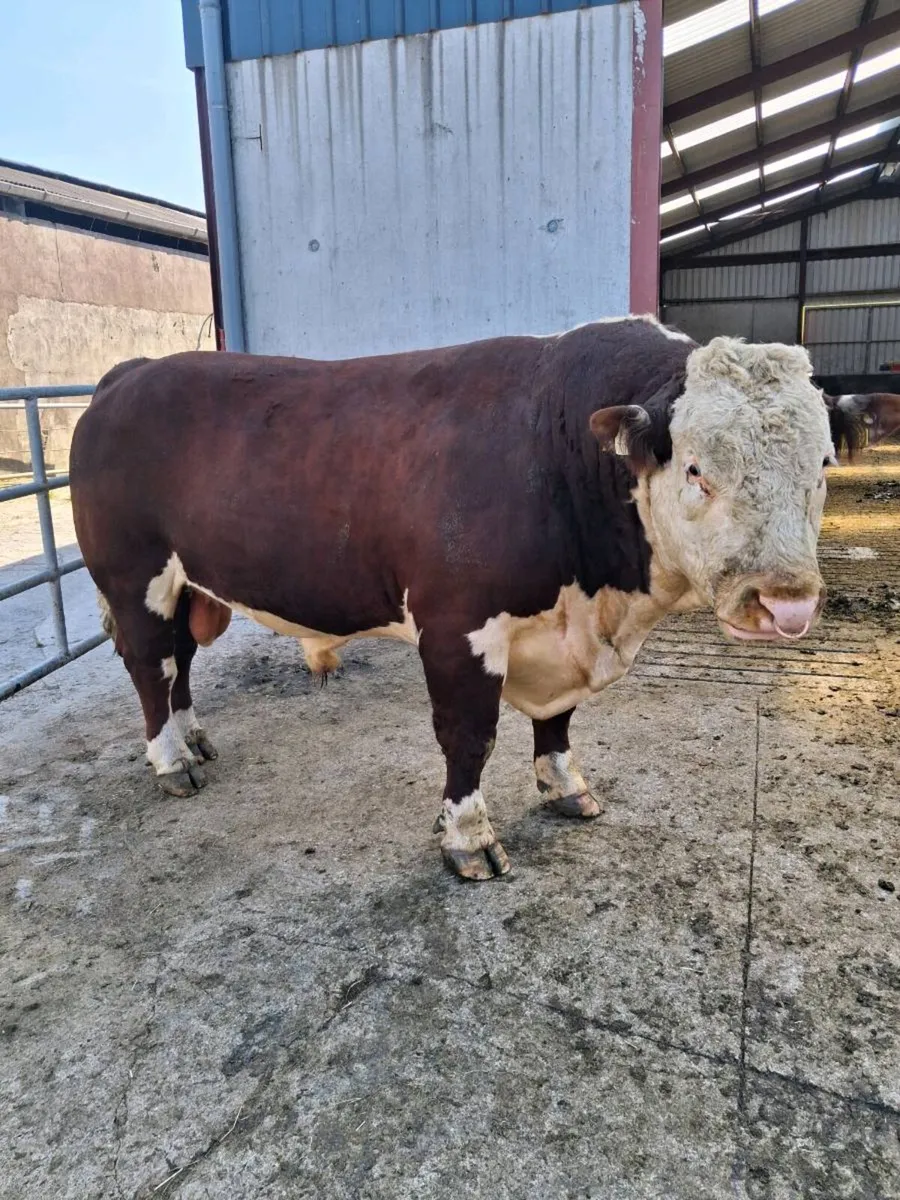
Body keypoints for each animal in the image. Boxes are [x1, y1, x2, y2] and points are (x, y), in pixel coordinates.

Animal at [69, 317, 900, 881]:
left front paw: (566, 785)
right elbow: (469, 737)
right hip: (132, 573)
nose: (785, 603)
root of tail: (130, 373)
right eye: (695, 468)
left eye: (823, 465)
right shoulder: (455, 626)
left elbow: (558, 721)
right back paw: (170, 760)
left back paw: (193, 736)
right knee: (148, 667)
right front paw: (468, 838)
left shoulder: (561, 635)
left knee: (178, 660)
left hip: (184, 580)